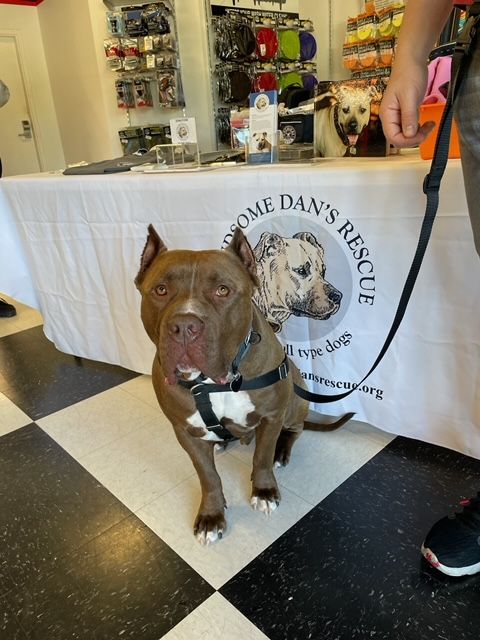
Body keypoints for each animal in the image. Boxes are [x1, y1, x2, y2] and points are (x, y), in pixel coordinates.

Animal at [135, 226, 352, 544]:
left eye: (223, 290)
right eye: (160, 290)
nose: (185, 326)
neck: (217, 382)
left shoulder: (271, 416)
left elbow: (261, 458)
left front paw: (264, 491)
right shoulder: (184, 431)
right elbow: (207, 476)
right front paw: (211, 516)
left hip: (294, 398)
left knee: (294, 430)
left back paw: (281, 451)